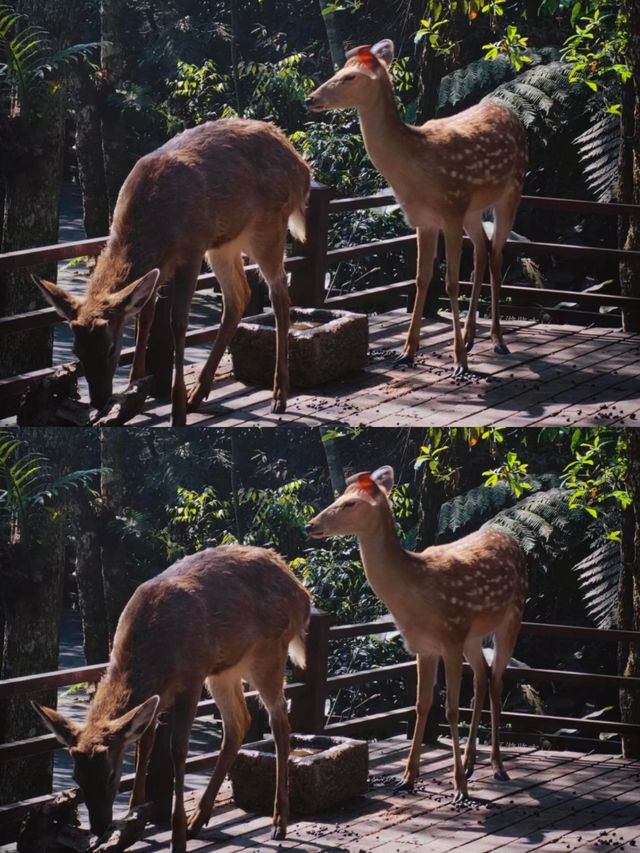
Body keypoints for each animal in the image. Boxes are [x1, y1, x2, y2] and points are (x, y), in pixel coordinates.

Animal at [33, 118, 312, 424]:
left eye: (111, 349)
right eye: (77, 351)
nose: (99, 400)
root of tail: (302, 167)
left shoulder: (192, 249)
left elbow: (178, 322)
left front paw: (176, 410)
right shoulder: (162, 266)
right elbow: (145, 316)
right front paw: (135, 385)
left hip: (268, 226)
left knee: (279, 295)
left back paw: (279, 394)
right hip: (224, 243)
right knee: (239, 296)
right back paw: (198, 392)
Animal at [33, 544, 312, 852]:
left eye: (110, 776)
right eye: (76, 777)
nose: (99, 827)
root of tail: (302, 594)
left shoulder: (192, 677)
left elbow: (178, 749)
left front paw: (176, 837)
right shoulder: (161, 694)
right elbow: (145, 742)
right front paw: (134, 812)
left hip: (268, 653)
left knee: (279, 722)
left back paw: (279, 821)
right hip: (224, 670)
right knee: (239, 722)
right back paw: (198, 818)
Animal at [308, 39, 528, 372]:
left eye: (350, 77)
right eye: (339, 71)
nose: (310, 99)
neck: (414, 170)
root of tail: (511, 113)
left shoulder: (450, 210)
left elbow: (450, 283)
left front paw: (459, 360)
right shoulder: (424, 220)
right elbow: (421, 278)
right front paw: (408, 351)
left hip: (512, 190)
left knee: (497, 256)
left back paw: (497, 340)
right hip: (473, 208)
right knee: (481, 251)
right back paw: (471, 335)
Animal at [308, 466, 528, 800]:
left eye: (350, 504)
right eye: (340, 498)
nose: (310, 525)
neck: (415, 598)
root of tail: (511, 539)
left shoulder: (450, 637)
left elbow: (450, 710)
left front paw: (459, 787)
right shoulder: (424, 646)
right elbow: (421, 705)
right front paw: (408, 777)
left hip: (512, 616)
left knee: (497, 682)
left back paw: (496, 765)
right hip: (473, 635)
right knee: (482, 677)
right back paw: (471, 762)